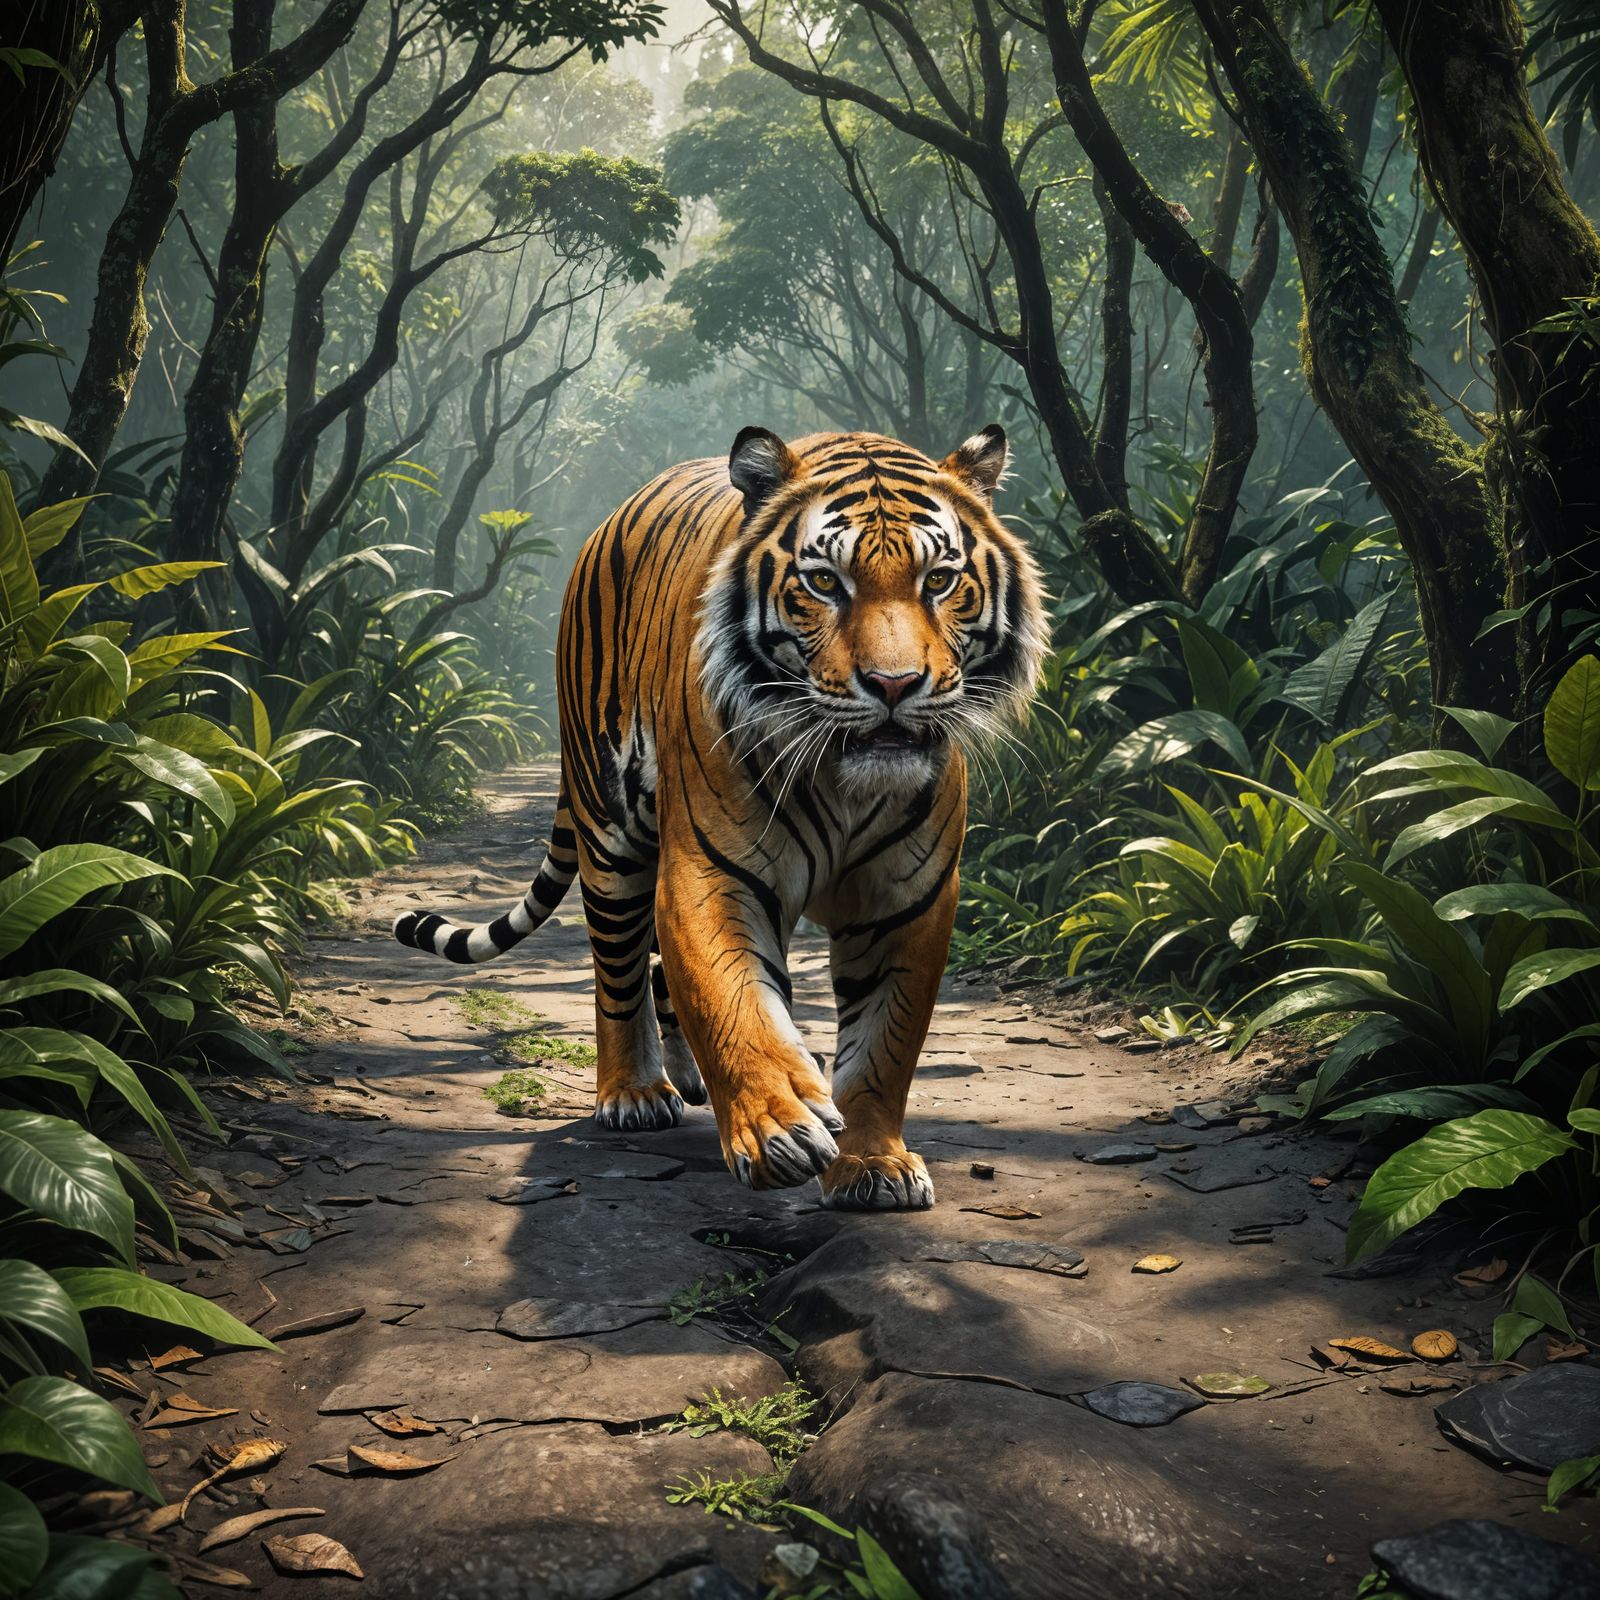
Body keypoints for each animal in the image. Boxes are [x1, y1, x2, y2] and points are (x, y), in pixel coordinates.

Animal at [395, 426, 1046, 1210]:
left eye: (940, 582)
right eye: (824, 583)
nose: (893, 686)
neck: (846, 783)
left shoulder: (908, 899)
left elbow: (882, 1044)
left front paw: (873, 1163)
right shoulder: (712, 872)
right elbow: (734, 1003)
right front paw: (778, 1130)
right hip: (611, 834)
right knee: (618, 970)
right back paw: (636, 1093)